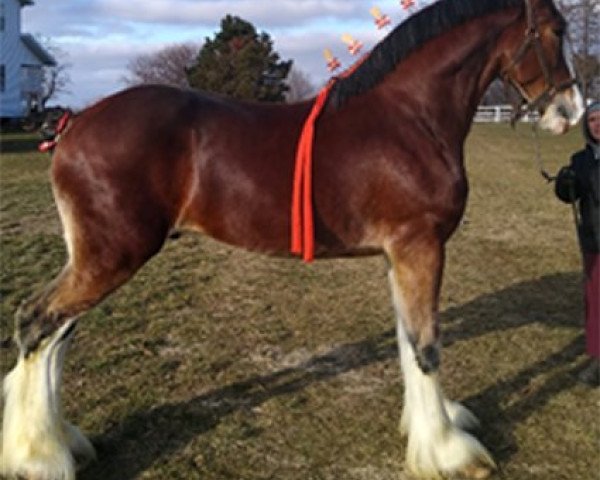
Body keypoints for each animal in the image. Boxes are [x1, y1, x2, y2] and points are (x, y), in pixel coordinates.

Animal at [0, 0, 580, 478]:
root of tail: (75, 123)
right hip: (110, 257)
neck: (410, 118)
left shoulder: (399, 256)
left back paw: (61, 444)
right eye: (556, 29)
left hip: (95, 258)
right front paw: (449, 452)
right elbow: (426, 346)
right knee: (37, 322)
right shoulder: (421, 249)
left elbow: (406, 340)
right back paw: (38, 457)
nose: (572, 110)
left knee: (56, 333)